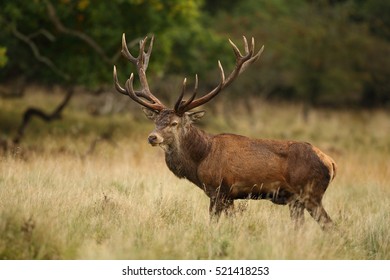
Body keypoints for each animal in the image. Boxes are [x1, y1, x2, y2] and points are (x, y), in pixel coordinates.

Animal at [112, 33, 336, 230]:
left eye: (174, 123)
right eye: (156, 121)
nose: (152, 137)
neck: (200, 159)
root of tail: (331, 163)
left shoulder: (219, 190)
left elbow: (215, 223)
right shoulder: (227, 195)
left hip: (310, 193)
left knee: (330, 226)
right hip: (296, 200)